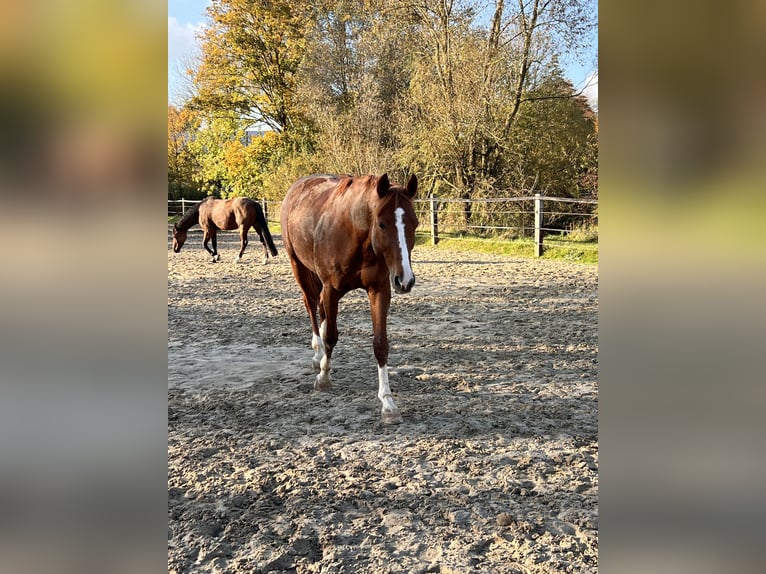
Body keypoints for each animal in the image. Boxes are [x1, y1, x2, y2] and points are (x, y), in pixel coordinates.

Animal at [280, 173, 416, 426]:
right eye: (382, 224)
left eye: (414, 223)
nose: (405, 280)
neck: (356, 236)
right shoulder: (331, 290)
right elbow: (331, 337)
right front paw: (323, 377)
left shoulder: (379, 290)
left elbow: (380, 344)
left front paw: (388, 404)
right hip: (299, 267)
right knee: (311, 306)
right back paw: (318, 353)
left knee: (321, 311)